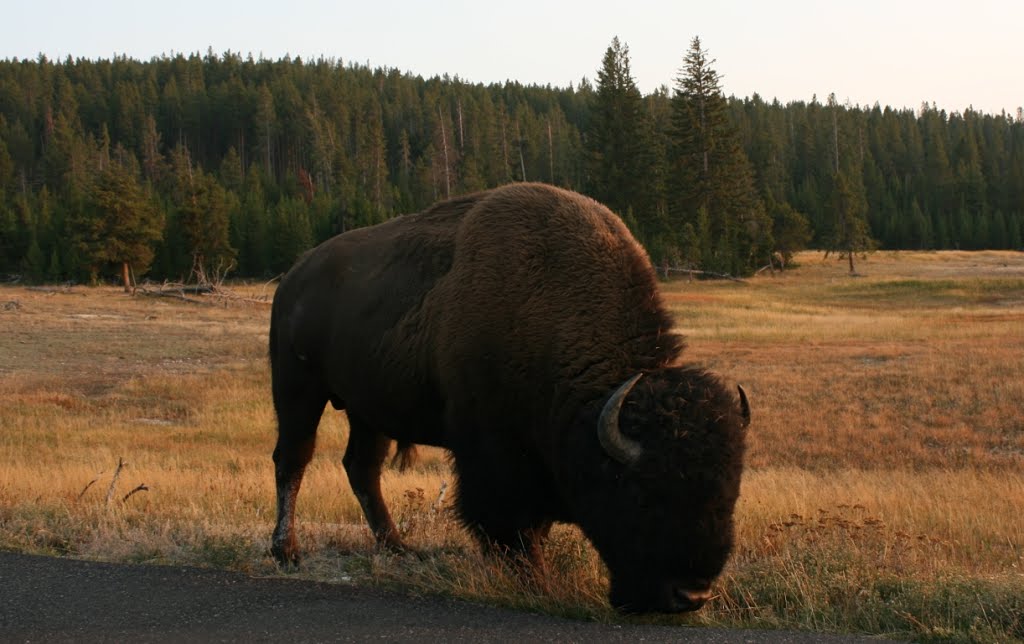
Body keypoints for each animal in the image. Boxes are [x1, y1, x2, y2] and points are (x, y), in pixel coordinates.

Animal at [270, 182, 753, 614]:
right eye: (644, 495)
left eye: (729, 494)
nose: (691, 596)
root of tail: (294, 277)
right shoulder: (490, 455)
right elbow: (506, 523)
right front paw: (536, 583)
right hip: (298, 388)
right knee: (293, 459)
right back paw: (286, 551)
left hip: (368, 409)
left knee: (362, 468)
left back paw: (398, 548)